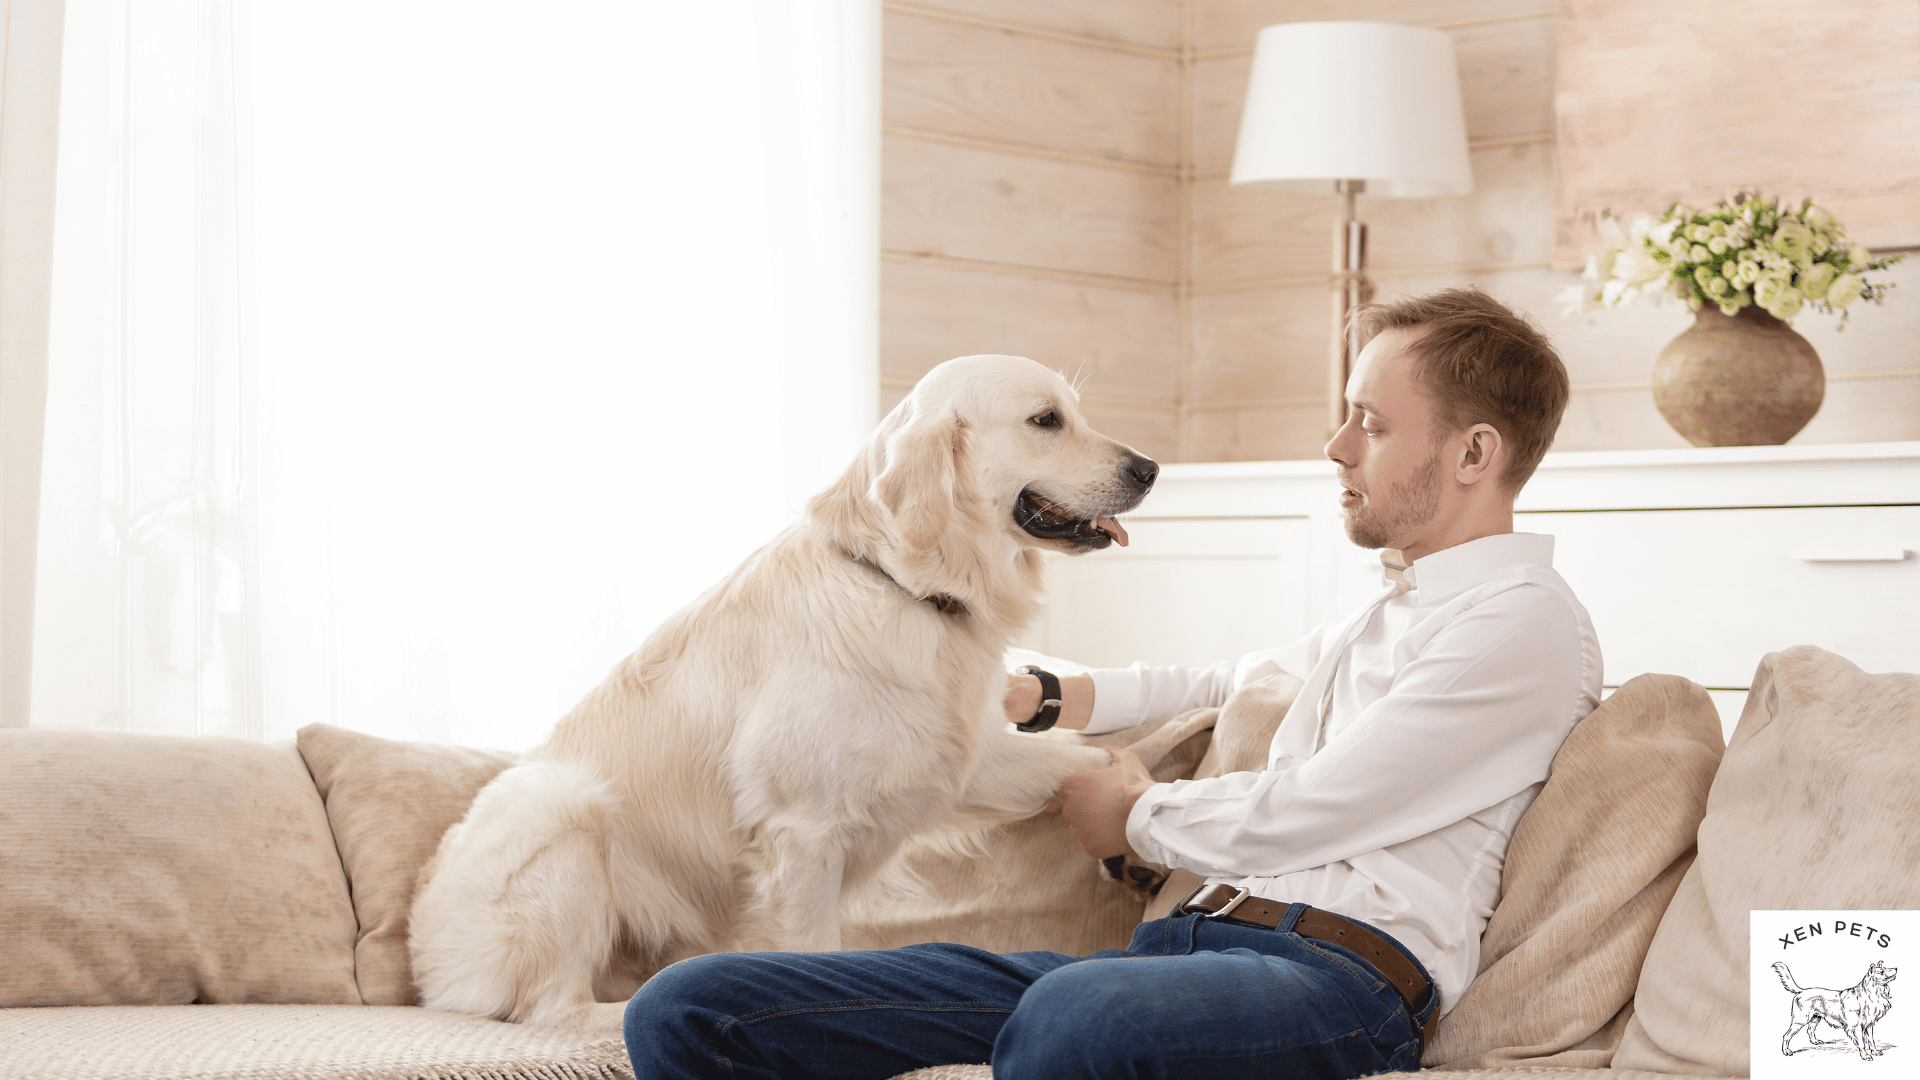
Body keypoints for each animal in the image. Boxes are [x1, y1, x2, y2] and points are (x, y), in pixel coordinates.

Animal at [408, 353, 1152, 1022]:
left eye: (1073, 411)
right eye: (1046, 420)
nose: (1149, 469)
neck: (905, 587)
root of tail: (424, 964)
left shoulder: (962, 761)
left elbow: (1081, 760)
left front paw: (1134, 807)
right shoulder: (805, 833)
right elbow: (812, 952)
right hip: (562, 804)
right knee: (554, 1008)